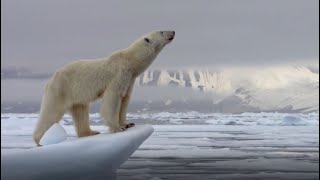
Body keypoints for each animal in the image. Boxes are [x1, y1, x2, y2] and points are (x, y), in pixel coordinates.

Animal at [32, 30, 175, 144]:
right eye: (162, 31)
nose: (173, 31)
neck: (130, 61)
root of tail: (51, 78)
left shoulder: (129, 80)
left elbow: (124, 100)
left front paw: (127, 123)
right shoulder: (119, 75)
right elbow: (113, 99)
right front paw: (118, 128)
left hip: (76, 93)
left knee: (80, 111)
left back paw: (90, 132)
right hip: (61, 88)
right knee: (51, 112)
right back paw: (40, 139)